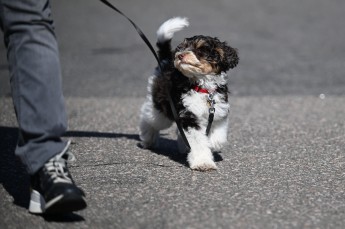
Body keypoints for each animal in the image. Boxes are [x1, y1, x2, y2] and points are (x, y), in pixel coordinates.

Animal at [138, 17, 238, 171]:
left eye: (200, 50)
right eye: (182, 48)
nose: (180, 55)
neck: (202, 87)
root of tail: (165, 60)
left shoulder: (218, 112)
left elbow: (219, 136)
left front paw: (213, 143)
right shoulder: (190, 117)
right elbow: (198, 142)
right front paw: (203, 162)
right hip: (162, 110)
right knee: (149, 118)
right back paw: (148, 139)